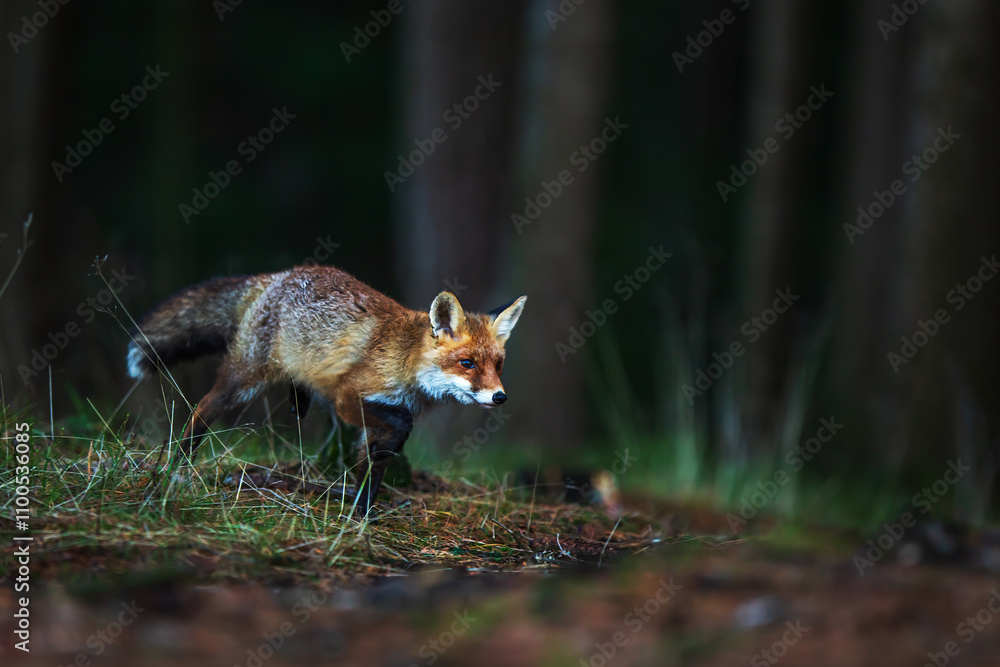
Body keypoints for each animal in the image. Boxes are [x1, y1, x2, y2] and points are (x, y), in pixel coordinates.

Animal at [126, 265, 526, 515]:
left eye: (498, 365)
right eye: (467, 363)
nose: (500, 397)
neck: (404, 361)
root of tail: (276, 275)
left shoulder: (373, 424)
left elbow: (370, 473)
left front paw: (362, 515)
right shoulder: (347, 398)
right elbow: (398, 424)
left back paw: (297, 398)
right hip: (244, 380)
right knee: (201, 409)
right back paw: (176, 465)